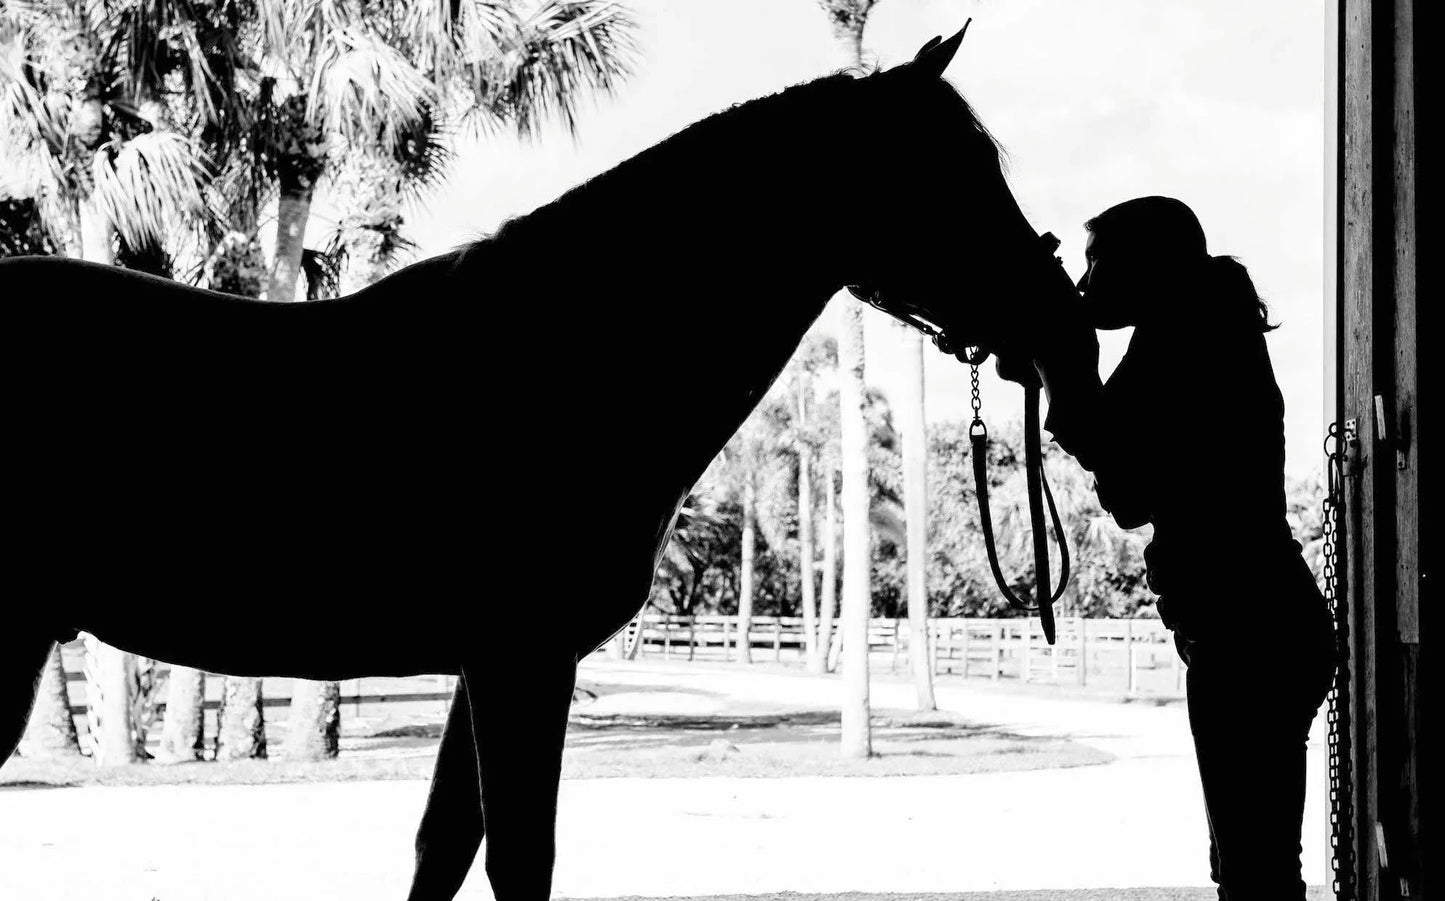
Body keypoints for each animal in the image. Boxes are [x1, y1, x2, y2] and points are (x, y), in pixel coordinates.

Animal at [0, 28, 1102, 901]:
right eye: (950, 175)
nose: (1069, 333)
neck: (558, 358)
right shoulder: (521, 659)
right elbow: (517, 858)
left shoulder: (489, 664)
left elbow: (444, 847)